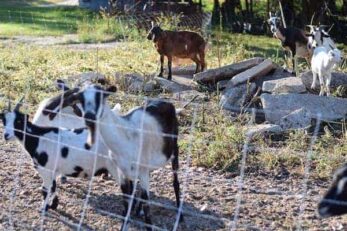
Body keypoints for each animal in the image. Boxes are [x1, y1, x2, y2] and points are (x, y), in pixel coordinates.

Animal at [59, 85, 185, 231]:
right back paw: (137, 210)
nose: (89, 117)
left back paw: (180, 216)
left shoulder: (142, 171)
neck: (125, 136)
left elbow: (147, 206)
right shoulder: (122, 171)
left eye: (101, 96)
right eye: (80, 98)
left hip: (174, 149)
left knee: (175, 182)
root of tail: (166, 102)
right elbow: (126, 202)